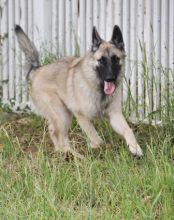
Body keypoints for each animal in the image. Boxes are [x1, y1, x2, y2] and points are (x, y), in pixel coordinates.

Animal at [14, 24, 143, 158]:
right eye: (101, 60)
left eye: (115, 59)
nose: (110, 78)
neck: (98, 86)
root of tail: (38, 70)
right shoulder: (81, 116)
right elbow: (96, 138)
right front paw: (98, 148)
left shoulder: (115, 115)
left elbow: (128, 130)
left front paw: (135, 147)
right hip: (62, 115)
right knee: (60, 137)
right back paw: (75, 156)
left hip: (63, 116)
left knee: (56, 134)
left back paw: (64, 153)